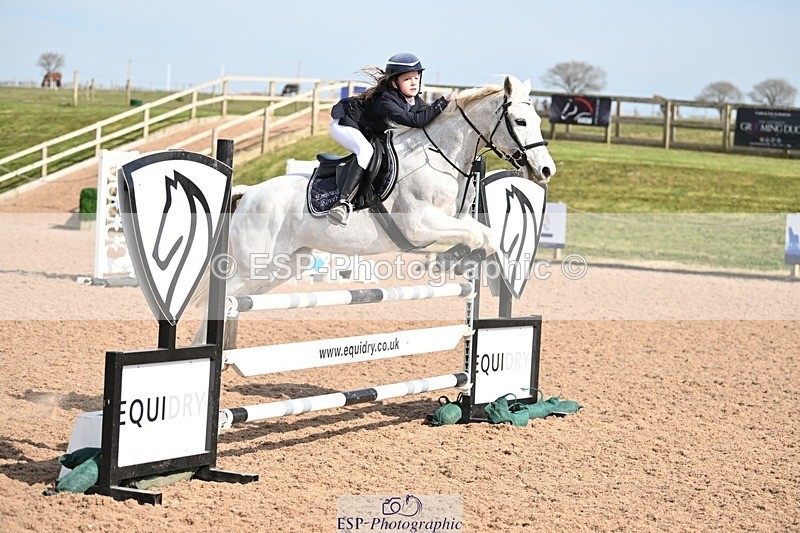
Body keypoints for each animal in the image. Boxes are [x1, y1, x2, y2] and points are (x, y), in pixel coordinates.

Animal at [194, 75, 556, 348]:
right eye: (520, 121)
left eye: (539, 120)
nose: (546, 170)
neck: (439, 155)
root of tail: (250, 192)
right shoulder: (420, 226)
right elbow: (479, 235)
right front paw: (441, 261)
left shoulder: (452, 220)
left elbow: (486, 236)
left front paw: (451, 261)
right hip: (254, 266)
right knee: (221, 298)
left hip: (278, 269)